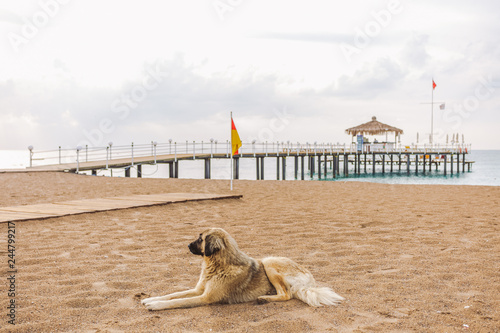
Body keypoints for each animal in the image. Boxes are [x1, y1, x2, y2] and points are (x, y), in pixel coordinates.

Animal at [141, 227, 344, 310]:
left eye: (200, 239)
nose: (187, 245)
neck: (218, 265)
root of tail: (310, 280)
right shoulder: (199, 290)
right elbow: (173, 294)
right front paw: (151, 299)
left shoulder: (205, 297)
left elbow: (176, 301)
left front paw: (155, 305)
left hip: (269, 261)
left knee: (286, 294)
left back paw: (264, 299)